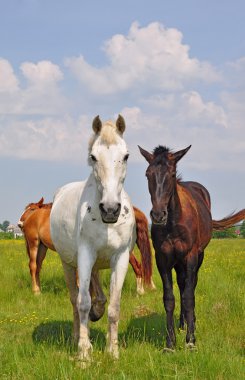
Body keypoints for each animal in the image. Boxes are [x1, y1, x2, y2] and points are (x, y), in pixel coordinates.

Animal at [18, 197, 155, 296]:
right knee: (34, 266)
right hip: (35, 244)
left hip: (40, 246)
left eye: (31, 209)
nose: (19, 224)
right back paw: (36, 291)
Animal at [50, 115, 136, 362]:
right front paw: (83, 353)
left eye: (126, 155)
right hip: (69, 264)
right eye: (93, 156)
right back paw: (76, 337)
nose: (110, 209)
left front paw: (112, 351)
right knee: (75, 299)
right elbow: (83, 303)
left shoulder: (121, 258)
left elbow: (114, 306)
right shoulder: (85, 256)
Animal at [139, 145, 245, 350]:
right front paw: (170, 343)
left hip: (197, 257)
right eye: (148, 174)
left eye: (172, 174)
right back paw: (182, 324)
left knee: (191, 285)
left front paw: (190, 340)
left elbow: (189, 296)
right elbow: (169, 298)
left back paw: (191, 322)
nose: (158, 215)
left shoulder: (190, 257)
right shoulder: (163, 259)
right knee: (181, 285)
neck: (173, 222)